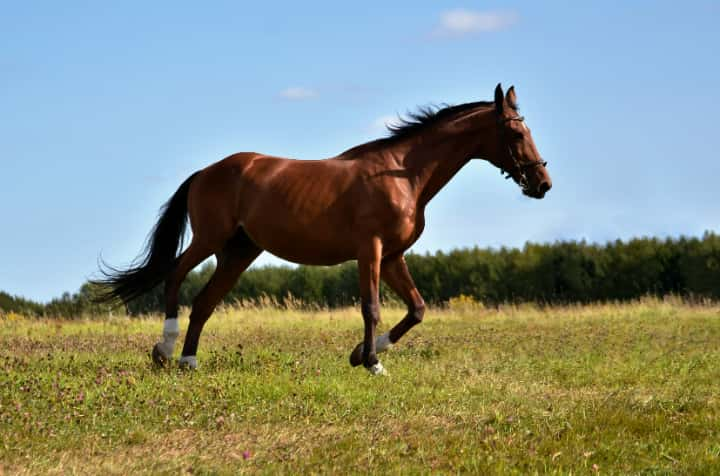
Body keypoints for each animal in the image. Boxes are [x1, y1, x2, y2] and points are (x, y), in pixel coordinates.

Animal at [97, 85, 552, 376]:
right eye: (515, 132)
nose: (542, 184)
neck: (403, 174)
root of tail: (206, 171)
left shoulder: (392, 256)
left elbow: (417, 309)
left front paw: (361, 354)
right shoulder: (370, 250)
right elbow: (371, 307)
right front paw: (372, 363)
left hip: (238, 253)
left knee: (205, 302)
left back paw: (188, 362)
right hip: (210, 239)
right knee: (175, 277)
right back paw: (164, 350)